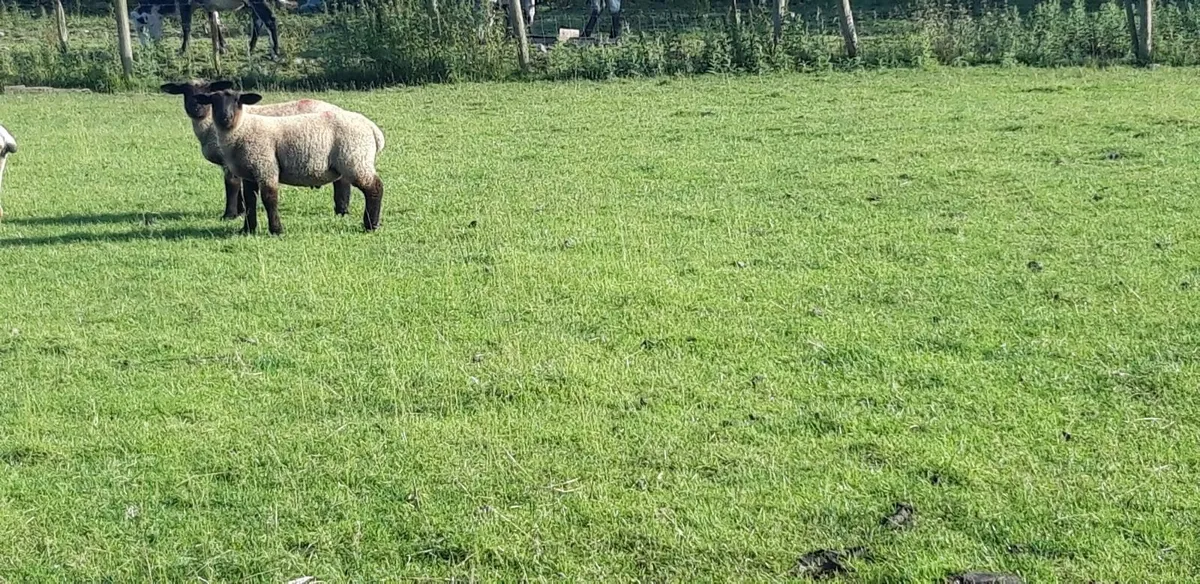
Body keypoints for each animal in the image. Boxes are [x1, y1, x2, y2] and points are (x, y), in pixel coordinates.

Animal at [161, 80, 352, 220]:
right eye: (184, 91)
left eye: (207, 91)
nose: (196, 108)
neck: (208, 125)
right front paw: (240, 211)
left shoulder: (230, 159)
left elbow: (231, 185)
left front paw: (229, 214)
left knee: (342, 180)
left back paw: (341, 210)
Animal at [193, 88, 385, 235]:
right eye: (213, 101)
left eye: (237, 100)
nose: (225, 117)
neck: (242, 129)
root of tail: (372, 128)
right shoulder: (249, 172)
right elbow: (250, 200)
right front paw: (247, 229)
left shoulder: (265, 166)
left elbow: (269, 198)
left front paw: (276, 230)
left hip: (356, 159)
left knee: (374, 188)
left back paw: (371, 225)